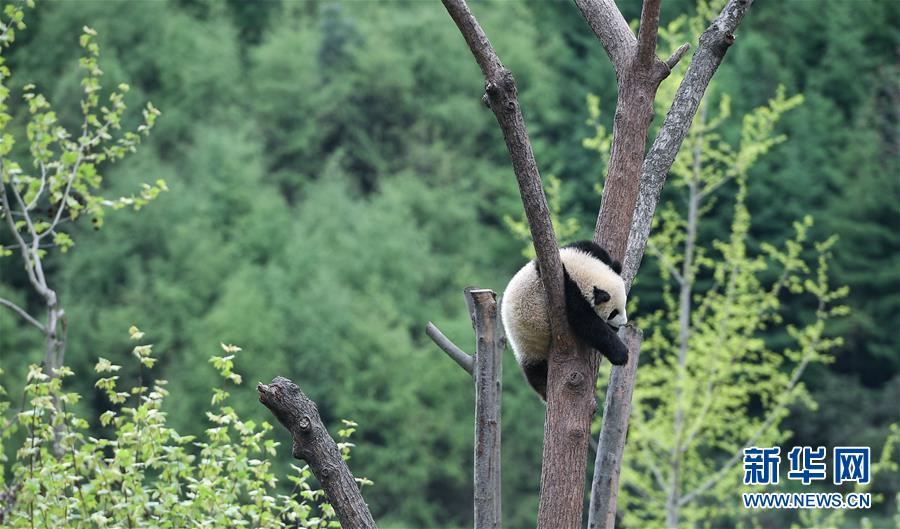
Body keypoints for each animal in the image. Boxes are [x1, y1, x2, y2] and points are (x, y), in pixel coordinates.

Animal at [500, 240, 632, 400]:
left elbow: (593, 248)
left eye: (624, 305)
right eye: (613, 313)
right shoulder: (565, 292)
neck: (578, 271)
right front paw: (621, 354)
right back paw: (544, 389)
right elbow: (586, 323)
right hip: (528, 343)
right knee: (535, 370)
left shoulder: (577, 251)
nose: (622, 324)